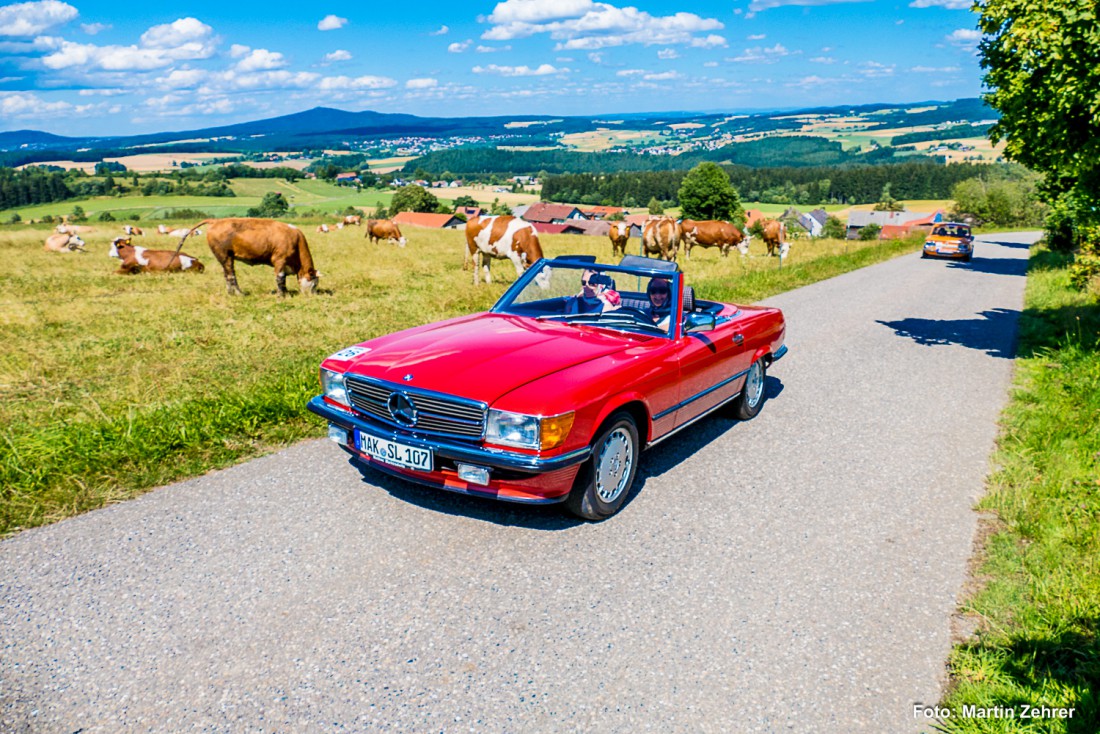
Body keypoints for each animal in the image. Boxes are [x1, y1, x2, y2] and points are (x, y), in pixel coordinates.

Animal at [187, 216, 319, 297]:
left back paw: (231, 293)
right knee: (231, 275)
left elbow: (283, 279)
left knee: (226, 275)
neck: (295, 240)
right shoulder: (279, 259)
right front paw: (281, 295)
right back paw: (239, 294)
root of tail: (216, 221)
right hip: (225, 255)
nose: (314, 295)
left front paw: (286, 292)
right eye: (314, 284)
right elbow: (280, 278)